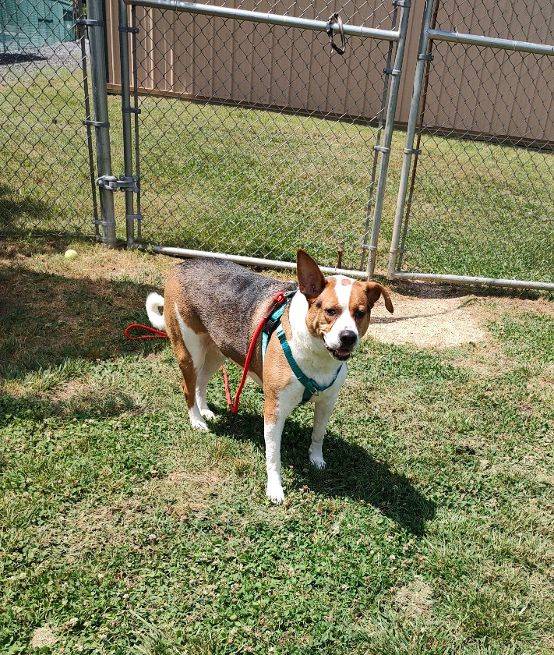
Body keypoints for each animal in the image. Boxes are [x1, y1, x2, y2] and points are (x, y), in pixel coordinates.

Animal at [144, 250, 390, 502]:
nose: (348, 337)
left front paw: (316, 459)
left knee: (201, 382)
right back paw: (197, 420)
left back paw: (205, 411)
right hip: (189, 351)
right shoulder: (274, 410)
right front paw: (275, 488)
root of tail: (181, 266)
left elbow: (318, 434)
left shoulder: (327, 402)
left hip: (217, 351)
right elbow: (273, 456)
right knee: (188, 387)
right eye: (331, 311)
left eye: (360, 313)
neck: (317, 354)